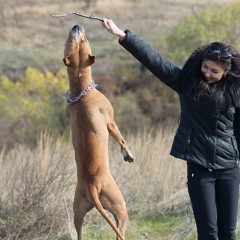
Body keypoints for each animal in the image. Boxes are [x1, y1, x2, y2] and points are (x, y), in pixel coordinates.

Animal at [62, 24, 134, 240]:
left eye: (76, 41)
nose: (76, 26)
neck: (80, 92)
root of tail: (91, 186)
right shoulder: (110, 122)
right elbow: (121, 139)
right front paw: (128, 155)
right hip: (119, 207)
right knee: (120, 229)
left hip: (78, 210)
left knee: (78, 229)